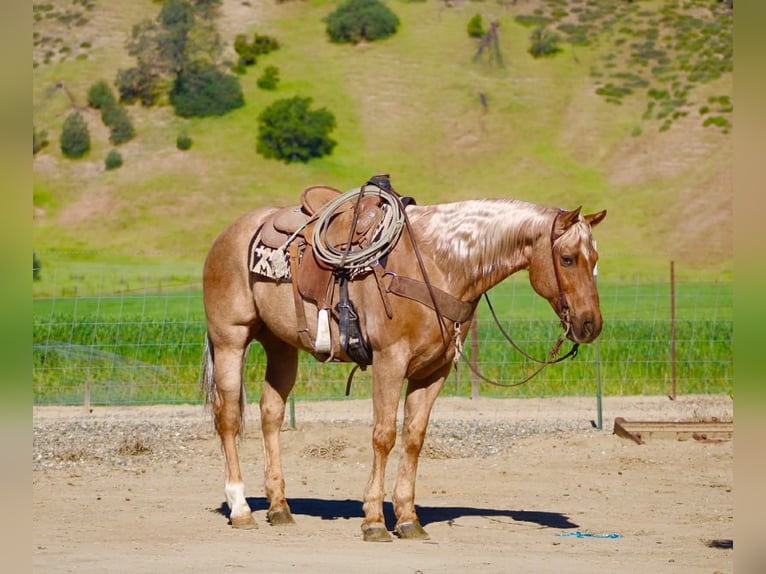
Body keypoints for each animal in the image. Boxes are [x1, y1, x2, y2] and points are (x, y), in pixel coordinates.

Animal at [201, 178, 606, 542]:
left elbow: (413, 438)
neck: (437, 263)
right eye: (567, 259)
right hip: (230, 339)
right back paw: (240, 508)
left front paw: (409, 519)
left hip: (281, 346)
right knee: (228, 417)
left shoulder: (433, 371)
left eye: (595, 258)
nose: (590, 324)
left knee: (271, 413)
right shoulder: (389, 362)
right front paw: (374, 521)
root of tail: (229, 235)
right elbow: (384, 436)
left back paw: (279, 507)